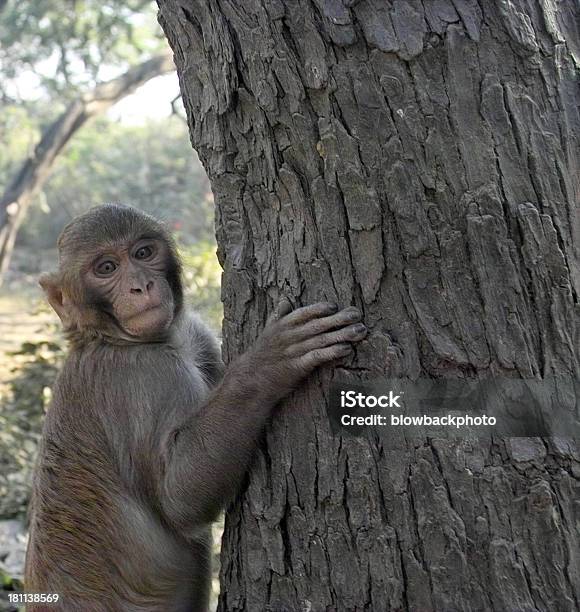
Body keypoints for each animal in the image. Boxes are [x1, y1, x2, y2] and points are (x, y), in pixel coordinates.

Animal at [23, 204, 368, 612]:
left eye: (143, 253)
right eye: (106, 268)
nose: (140, 285)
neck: (108, 339)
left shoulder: (192, 334)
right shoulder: (142, 376)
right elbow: (179, 499)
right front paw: (269, 362)